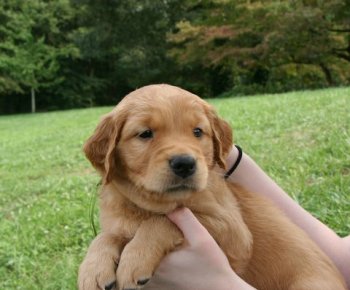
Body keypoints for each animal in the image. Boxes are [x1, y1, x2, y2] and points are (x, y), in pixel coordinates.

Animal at [77, 84, 348, 290]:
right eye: (145, 134)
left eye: (198, 131)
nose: (185, 163)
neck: (150, 205)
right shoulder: (117, 224)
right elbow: (105, 236)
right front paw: (92, 270)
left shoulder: (233, 232)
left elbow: (161, 222)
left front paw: (134, 259)